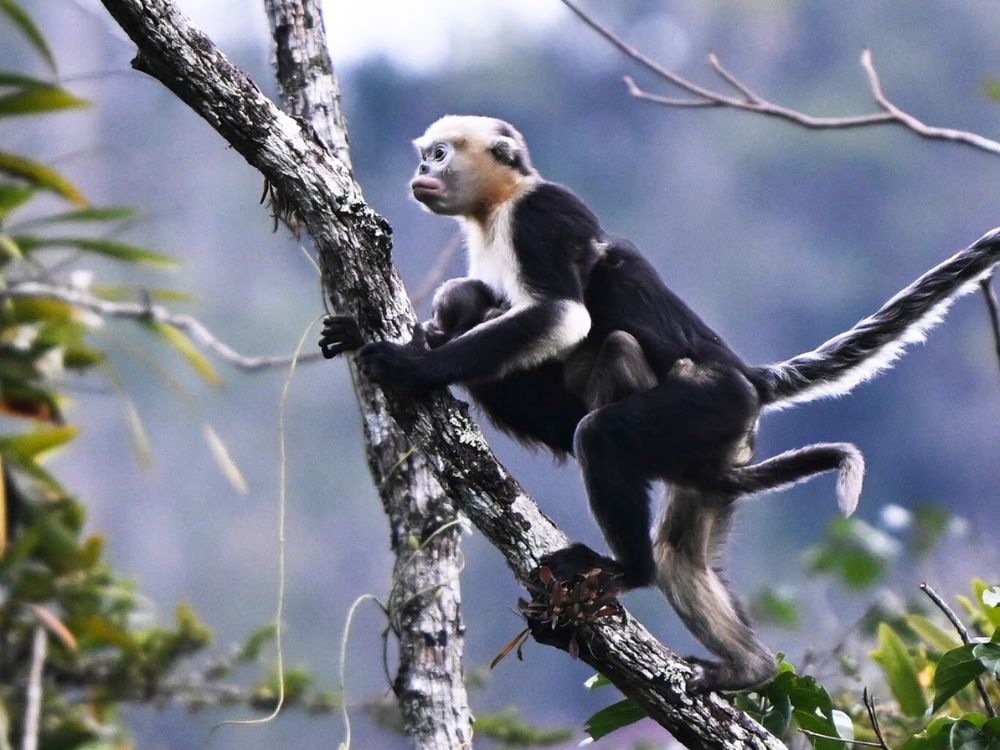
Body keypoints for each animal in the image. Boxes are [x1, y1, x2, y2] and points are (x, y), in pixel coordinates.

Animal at [319, 114, 1000, 692]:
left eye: (439, 153)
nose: (421, 170)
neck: (498, 207)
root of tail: (747, 376)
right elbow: (479, 305)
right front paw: (375, 335)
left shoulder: (539, 217)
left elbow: (562, 316)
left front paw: (411, 364)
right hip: (717, 449)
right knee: (680, 556)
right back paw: (748, 669)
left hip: (706, 404)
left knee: (600, 425)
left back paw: (628, 570)